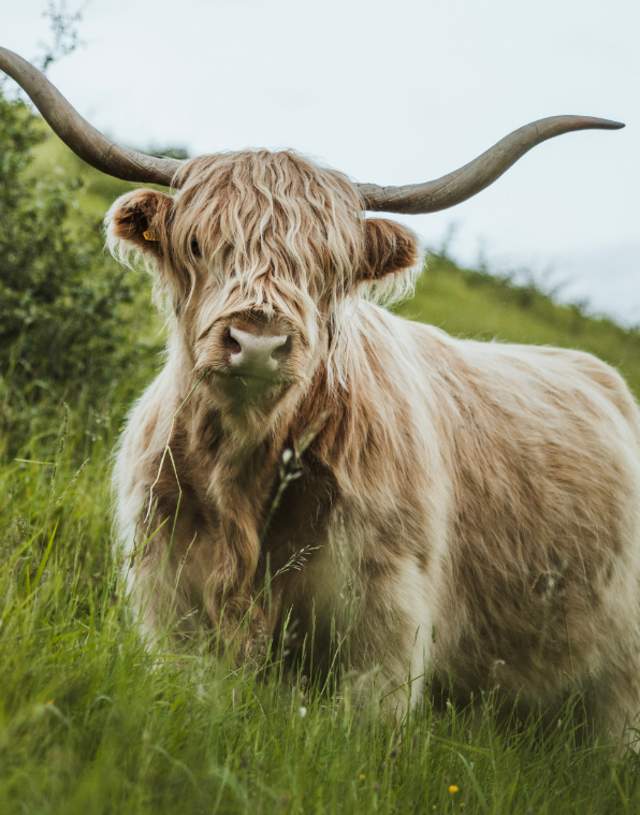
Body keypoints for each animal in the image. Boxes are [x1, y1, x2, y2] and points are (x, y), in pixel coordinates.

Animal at [3, 47, 639, 743]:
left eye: (329, 265)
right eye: (198, 243)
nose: (257, 340)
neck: (246, 475)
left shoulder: (384, 630)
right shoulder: (170, 602)